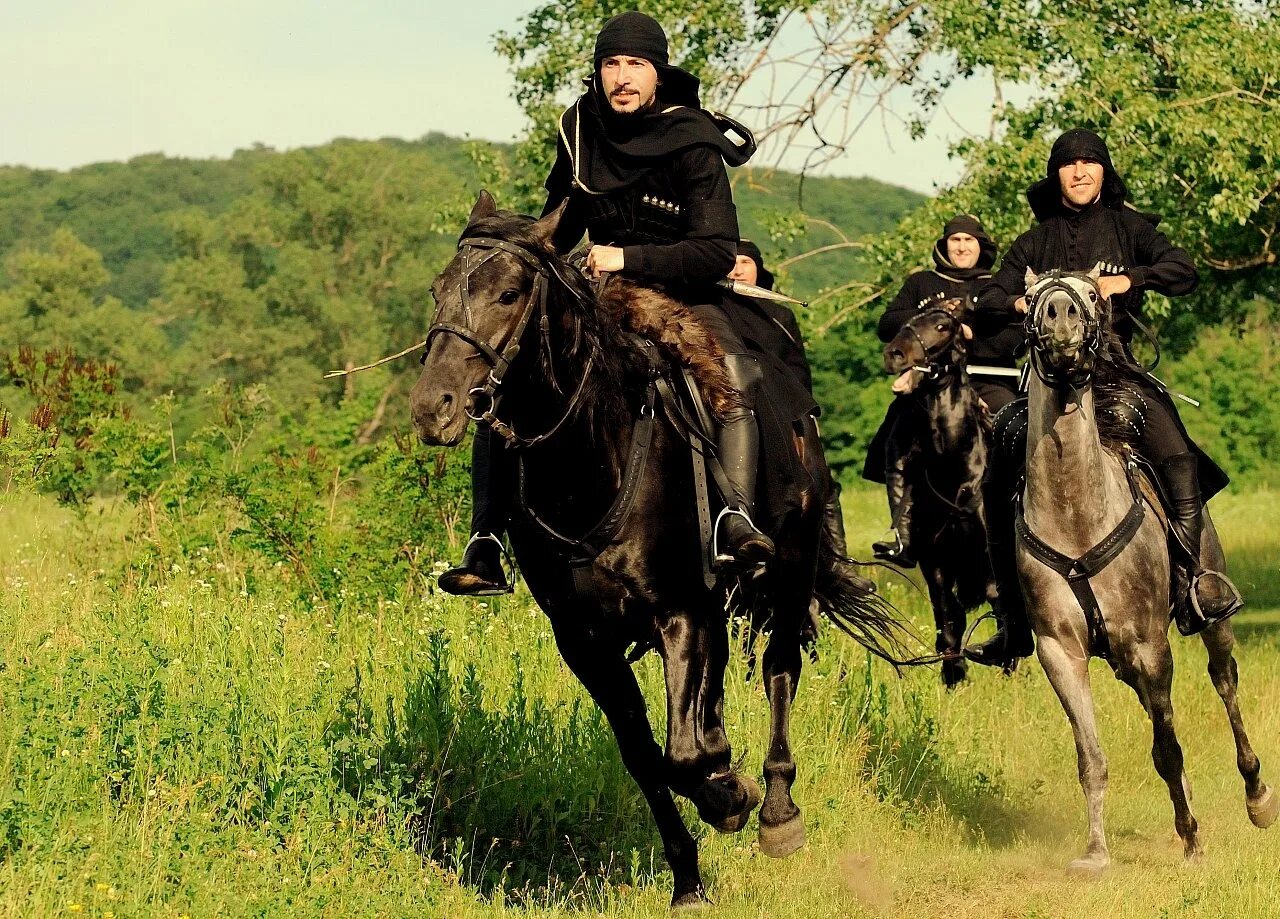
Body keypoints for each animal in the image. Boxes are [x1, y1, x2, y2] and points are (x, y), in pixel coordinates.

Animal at [880, 305, 998, 686]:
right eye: (907, 322)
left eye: (943, 326)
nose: (894, 354)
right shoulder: (935, 563)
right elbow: (948, 623)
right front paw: (954, 676)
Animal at [1013, 268, 1274, 880]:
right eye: (1032, 298)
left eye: (1091, 294)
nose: (1060, 317)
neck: (1076, 515)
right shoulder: (1061, 651)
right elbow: (1091, 756)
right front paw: (1095, 852)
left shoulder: (1150, 644)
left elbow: (1167, 748)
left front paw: (1192, 839)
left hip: (1211, 621)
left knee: (1225, 685)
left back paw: (1257, 796)